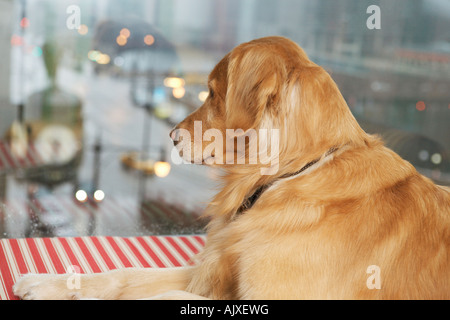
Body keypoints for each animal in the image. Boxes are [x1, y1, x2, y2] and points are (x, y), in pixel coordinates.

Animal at [12, 37, 448, 300]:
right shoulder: (210, 269)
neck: (290, 175)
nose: (170, 135)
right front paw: (49, 282)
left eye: (212, 93)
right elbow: (125, 273)